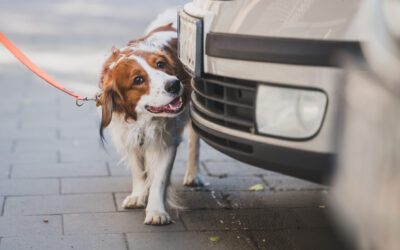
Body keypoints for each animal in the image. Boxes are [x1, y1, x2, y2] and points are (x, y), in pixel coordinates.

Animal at [97, 9, 203, 225]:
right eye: (138, 79)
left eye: (161, 64)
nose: (174, 84)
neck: (143, 119)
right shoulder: (129, 136)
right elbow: (138, 171)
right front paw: (138, 195)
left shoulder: (167, 141)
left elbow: (159, 180)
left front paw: (156, 211)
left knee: (194, 143)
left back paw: (193, 175)